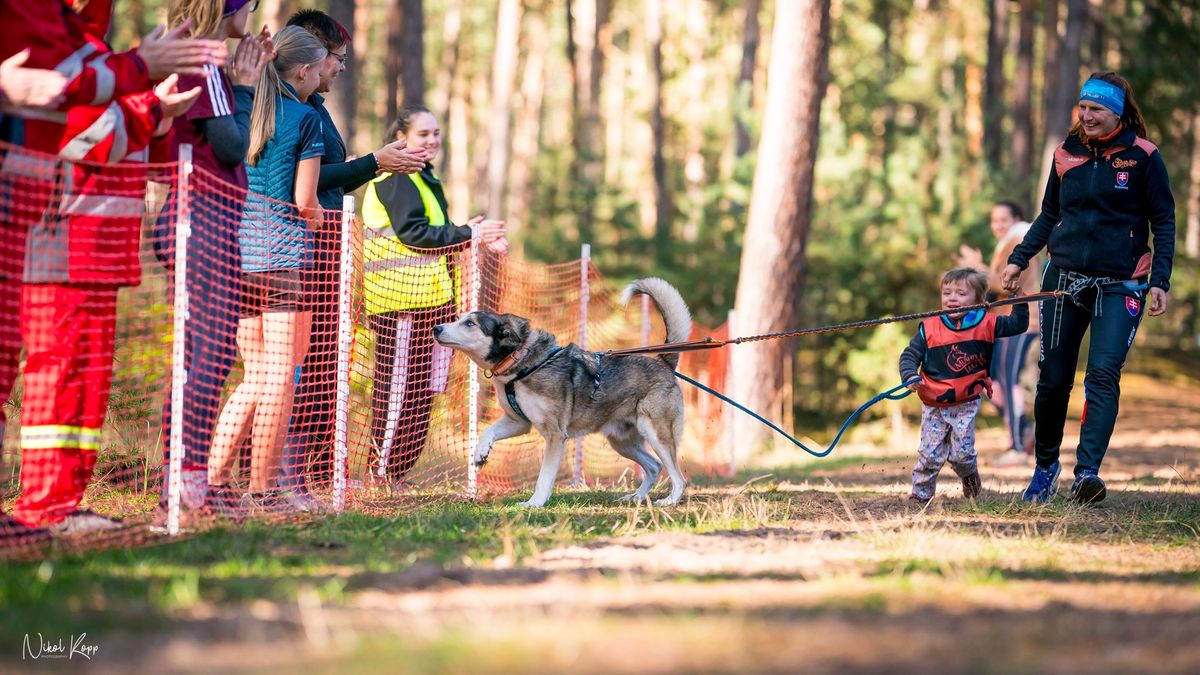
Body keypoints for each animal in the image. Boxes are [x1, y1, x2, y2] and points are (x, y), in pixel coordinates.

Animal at [434, 277, 696, 504]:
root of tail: (664, 361)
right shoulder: (519, 422)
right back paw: (637, 497)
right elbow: (488, 431)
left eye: (470, 324)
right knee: (654, 466)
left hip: (656, 433)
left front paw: (534, 503)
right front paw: (480, 454)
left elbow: (544, 477)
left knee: (678, 477)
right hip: (622, 441)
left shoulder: (555, 434)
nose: (436, 327)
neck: (521, 365)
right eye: (459, 318)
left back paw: (669, 501)